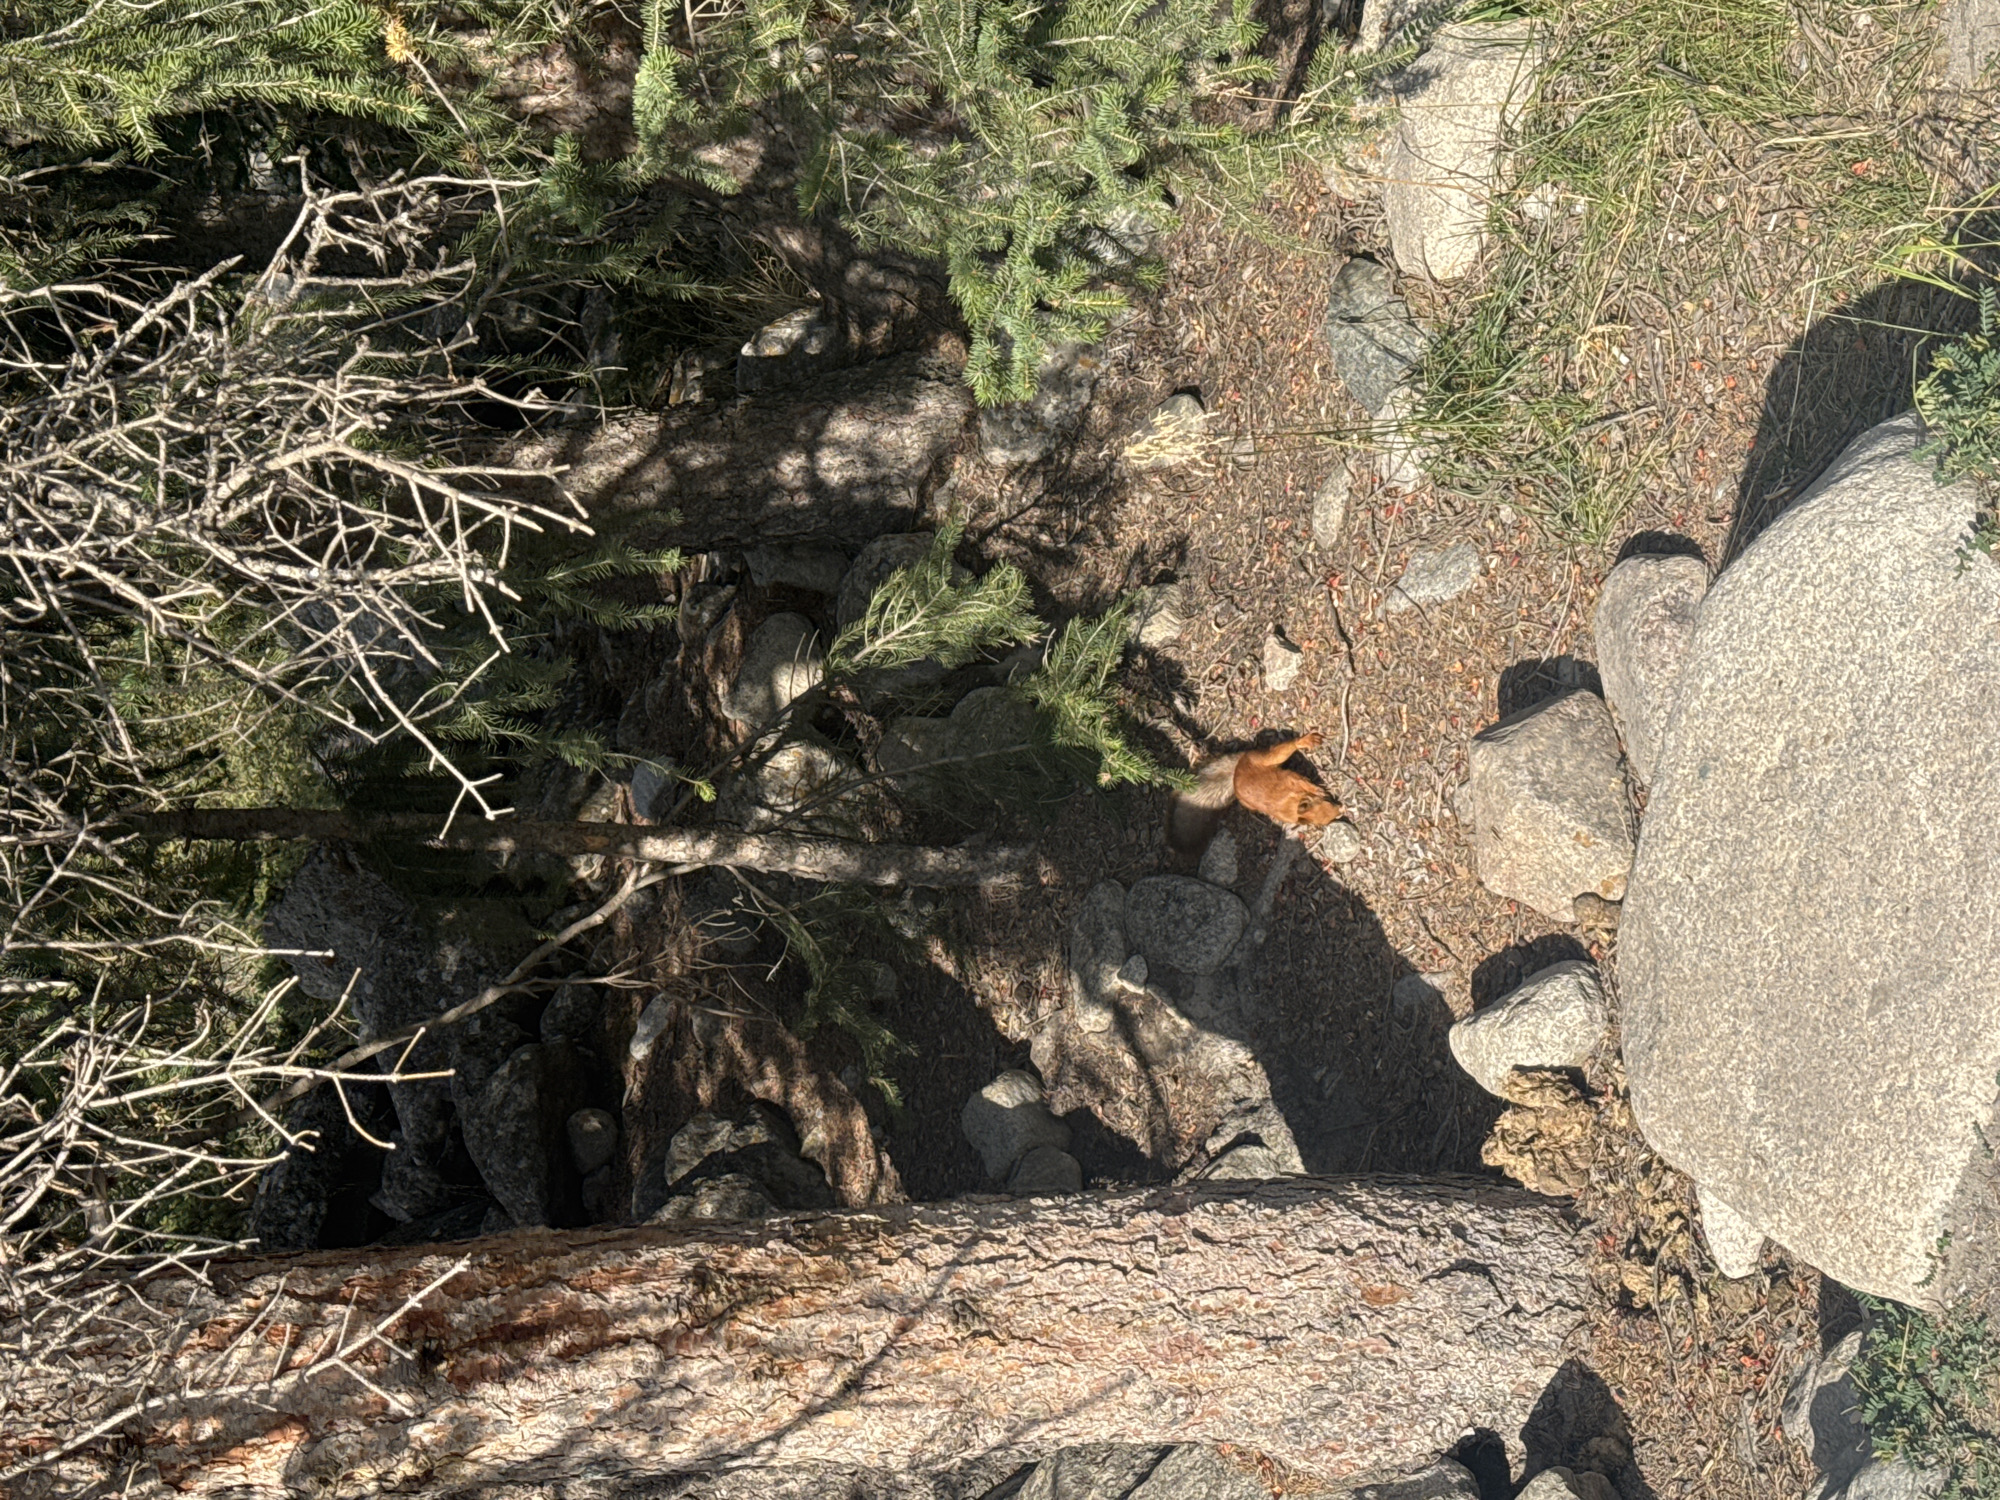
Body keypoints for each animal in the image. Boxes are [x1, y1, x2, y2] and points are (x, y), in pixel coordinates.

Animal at [1167, 732, 1343, 854]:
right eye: (1326, 803)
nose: (1339, 810)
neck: (1292, 804)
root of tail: (1237, 770)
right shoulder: (1293, 780)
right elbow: (1304, 782)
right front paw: (1318, 789)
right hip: (1269, 759)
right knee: (1289, 746)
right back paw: (1307, 741)